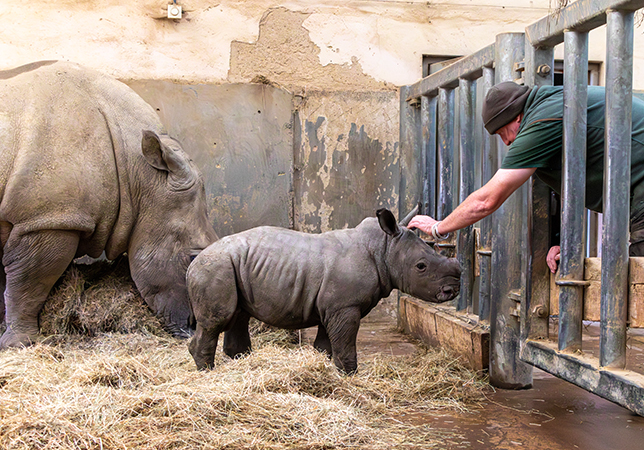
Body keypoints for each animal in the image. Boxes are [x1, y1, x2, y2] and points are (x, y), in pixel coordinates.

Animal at [0, 61, 218, 348]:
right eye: (192, 257)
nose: (194, 327)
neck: (139, 174)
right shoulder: (46, 219)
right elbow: (29, 283)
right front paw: (19, 343)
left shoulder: (51, 216)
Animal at [186, 207, 461, 373]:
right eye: (421, 267)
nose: (453, 291)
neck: (383, 247)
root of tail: (193, 262)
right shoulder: (345, 307)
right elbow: (344, 342)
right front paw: (349, 375)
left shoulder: (333, 307)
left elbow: (326, 344)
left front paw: (324, 367)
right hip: (215, 267)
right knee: (217, 320)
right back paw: (207, 372)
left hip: (233, 266)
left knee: (238, 315)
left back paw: (240, 362)